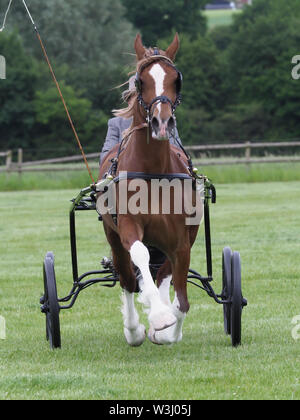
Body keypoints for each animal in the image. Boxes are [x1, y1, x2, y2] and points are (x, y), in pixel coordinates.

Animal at [97, 34, 203, 346]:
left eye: (176, 80)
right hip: (113, 238)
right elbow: (140, 256)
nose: (162, 122)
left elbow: (181, 297)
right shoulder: (128, 227)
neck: (153, 171)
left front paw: (168, 329)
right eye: (140, 80)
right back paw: (133, 330)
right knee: (127, 278)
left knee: (163, 275)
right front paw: (157, 317)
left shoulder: (181, 240)